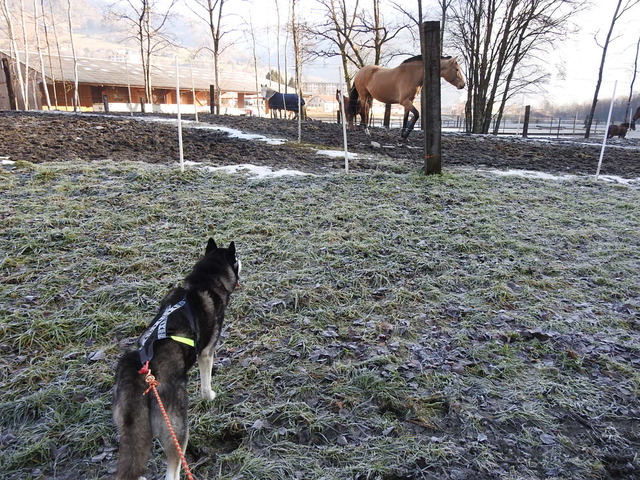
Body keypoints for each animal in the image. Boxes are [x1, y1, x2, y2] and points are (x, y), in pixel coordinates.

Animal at [112, 238, 240, 478]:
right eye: (237, 258)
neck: (203, 281)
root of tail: (142, 374)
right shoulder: (206, 352)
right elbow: (206, 383)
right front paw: (210, 396)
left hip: (129, 427)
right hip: (177, 429)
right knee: (172, 471)